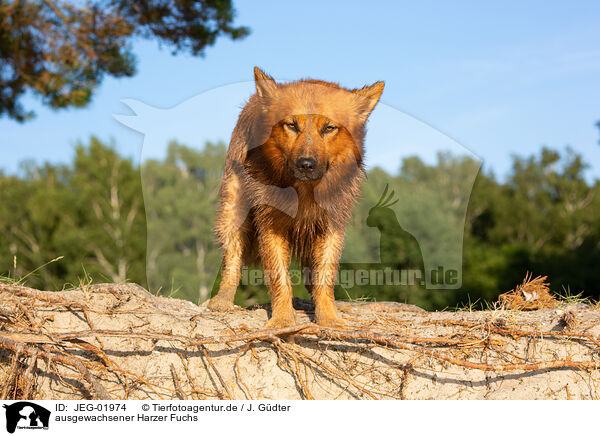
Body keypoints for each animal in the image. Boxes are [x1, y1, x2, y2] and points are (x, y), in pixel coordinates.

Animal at [207, 68, 384, 328]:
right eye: (291, 125)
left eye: (328, 128)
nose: (306, 164)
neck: (304, 192)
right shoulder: (271, 225)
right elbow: (279, 278)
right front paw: (282, 319)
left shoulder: (330, 226)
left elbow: (324, 277)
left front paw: (329, 317)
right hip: (233, 213)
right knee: (232, 261)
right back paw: (222, 300)